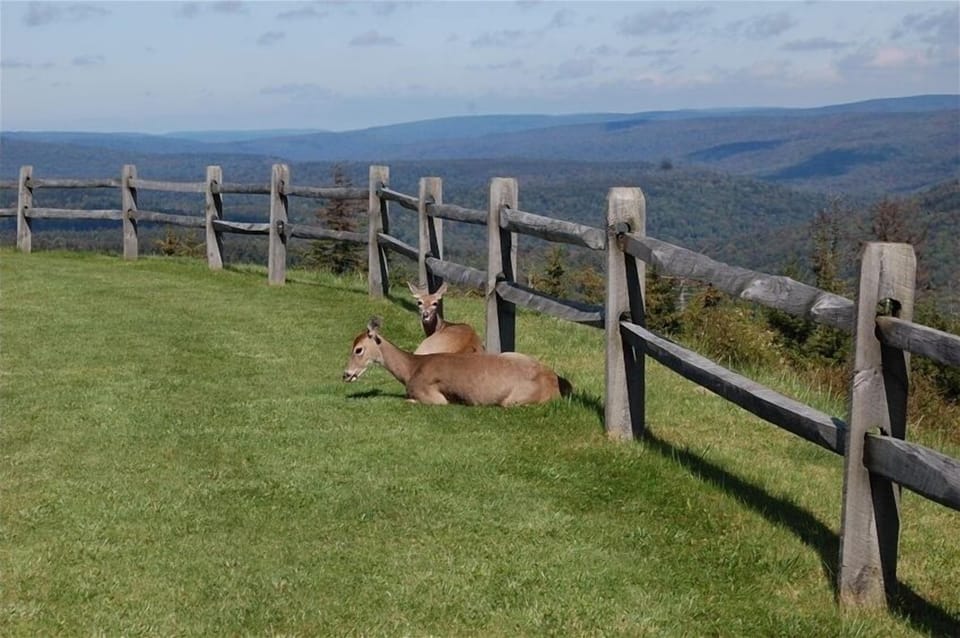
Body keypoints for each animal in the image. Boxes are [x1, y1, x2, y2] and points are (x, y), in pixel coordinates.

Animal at [343, 317, 572, 406]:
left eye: (358, 349)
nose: (345, 374)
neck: (412, 369)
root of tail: (555, 383)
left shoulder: (433, 396)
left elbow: (409, 400)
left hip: (513, 399)